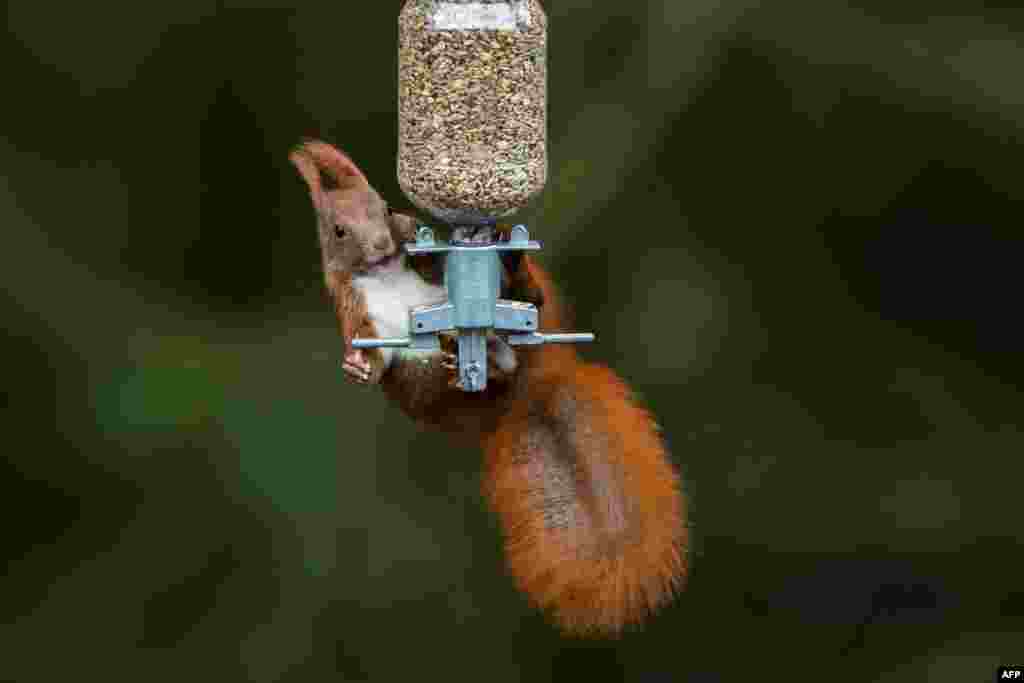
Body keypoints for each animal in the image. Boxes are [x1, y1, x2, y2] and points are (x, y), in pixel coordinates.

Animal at [289, 139, 687, 636]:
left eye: (386, 208)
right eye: (339, 231)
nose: (384, 243)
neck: (384, 275)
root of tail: (530, 390)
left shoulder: (426, 264)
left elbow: (434, 260)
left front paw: (419, 242)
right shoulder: (354, 309)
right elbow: (374, 357)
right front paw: (357, 366)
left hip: (533, 316)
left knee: (533, 300)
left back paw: (515, 276)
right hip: (437, 389)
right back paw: (486, 360)